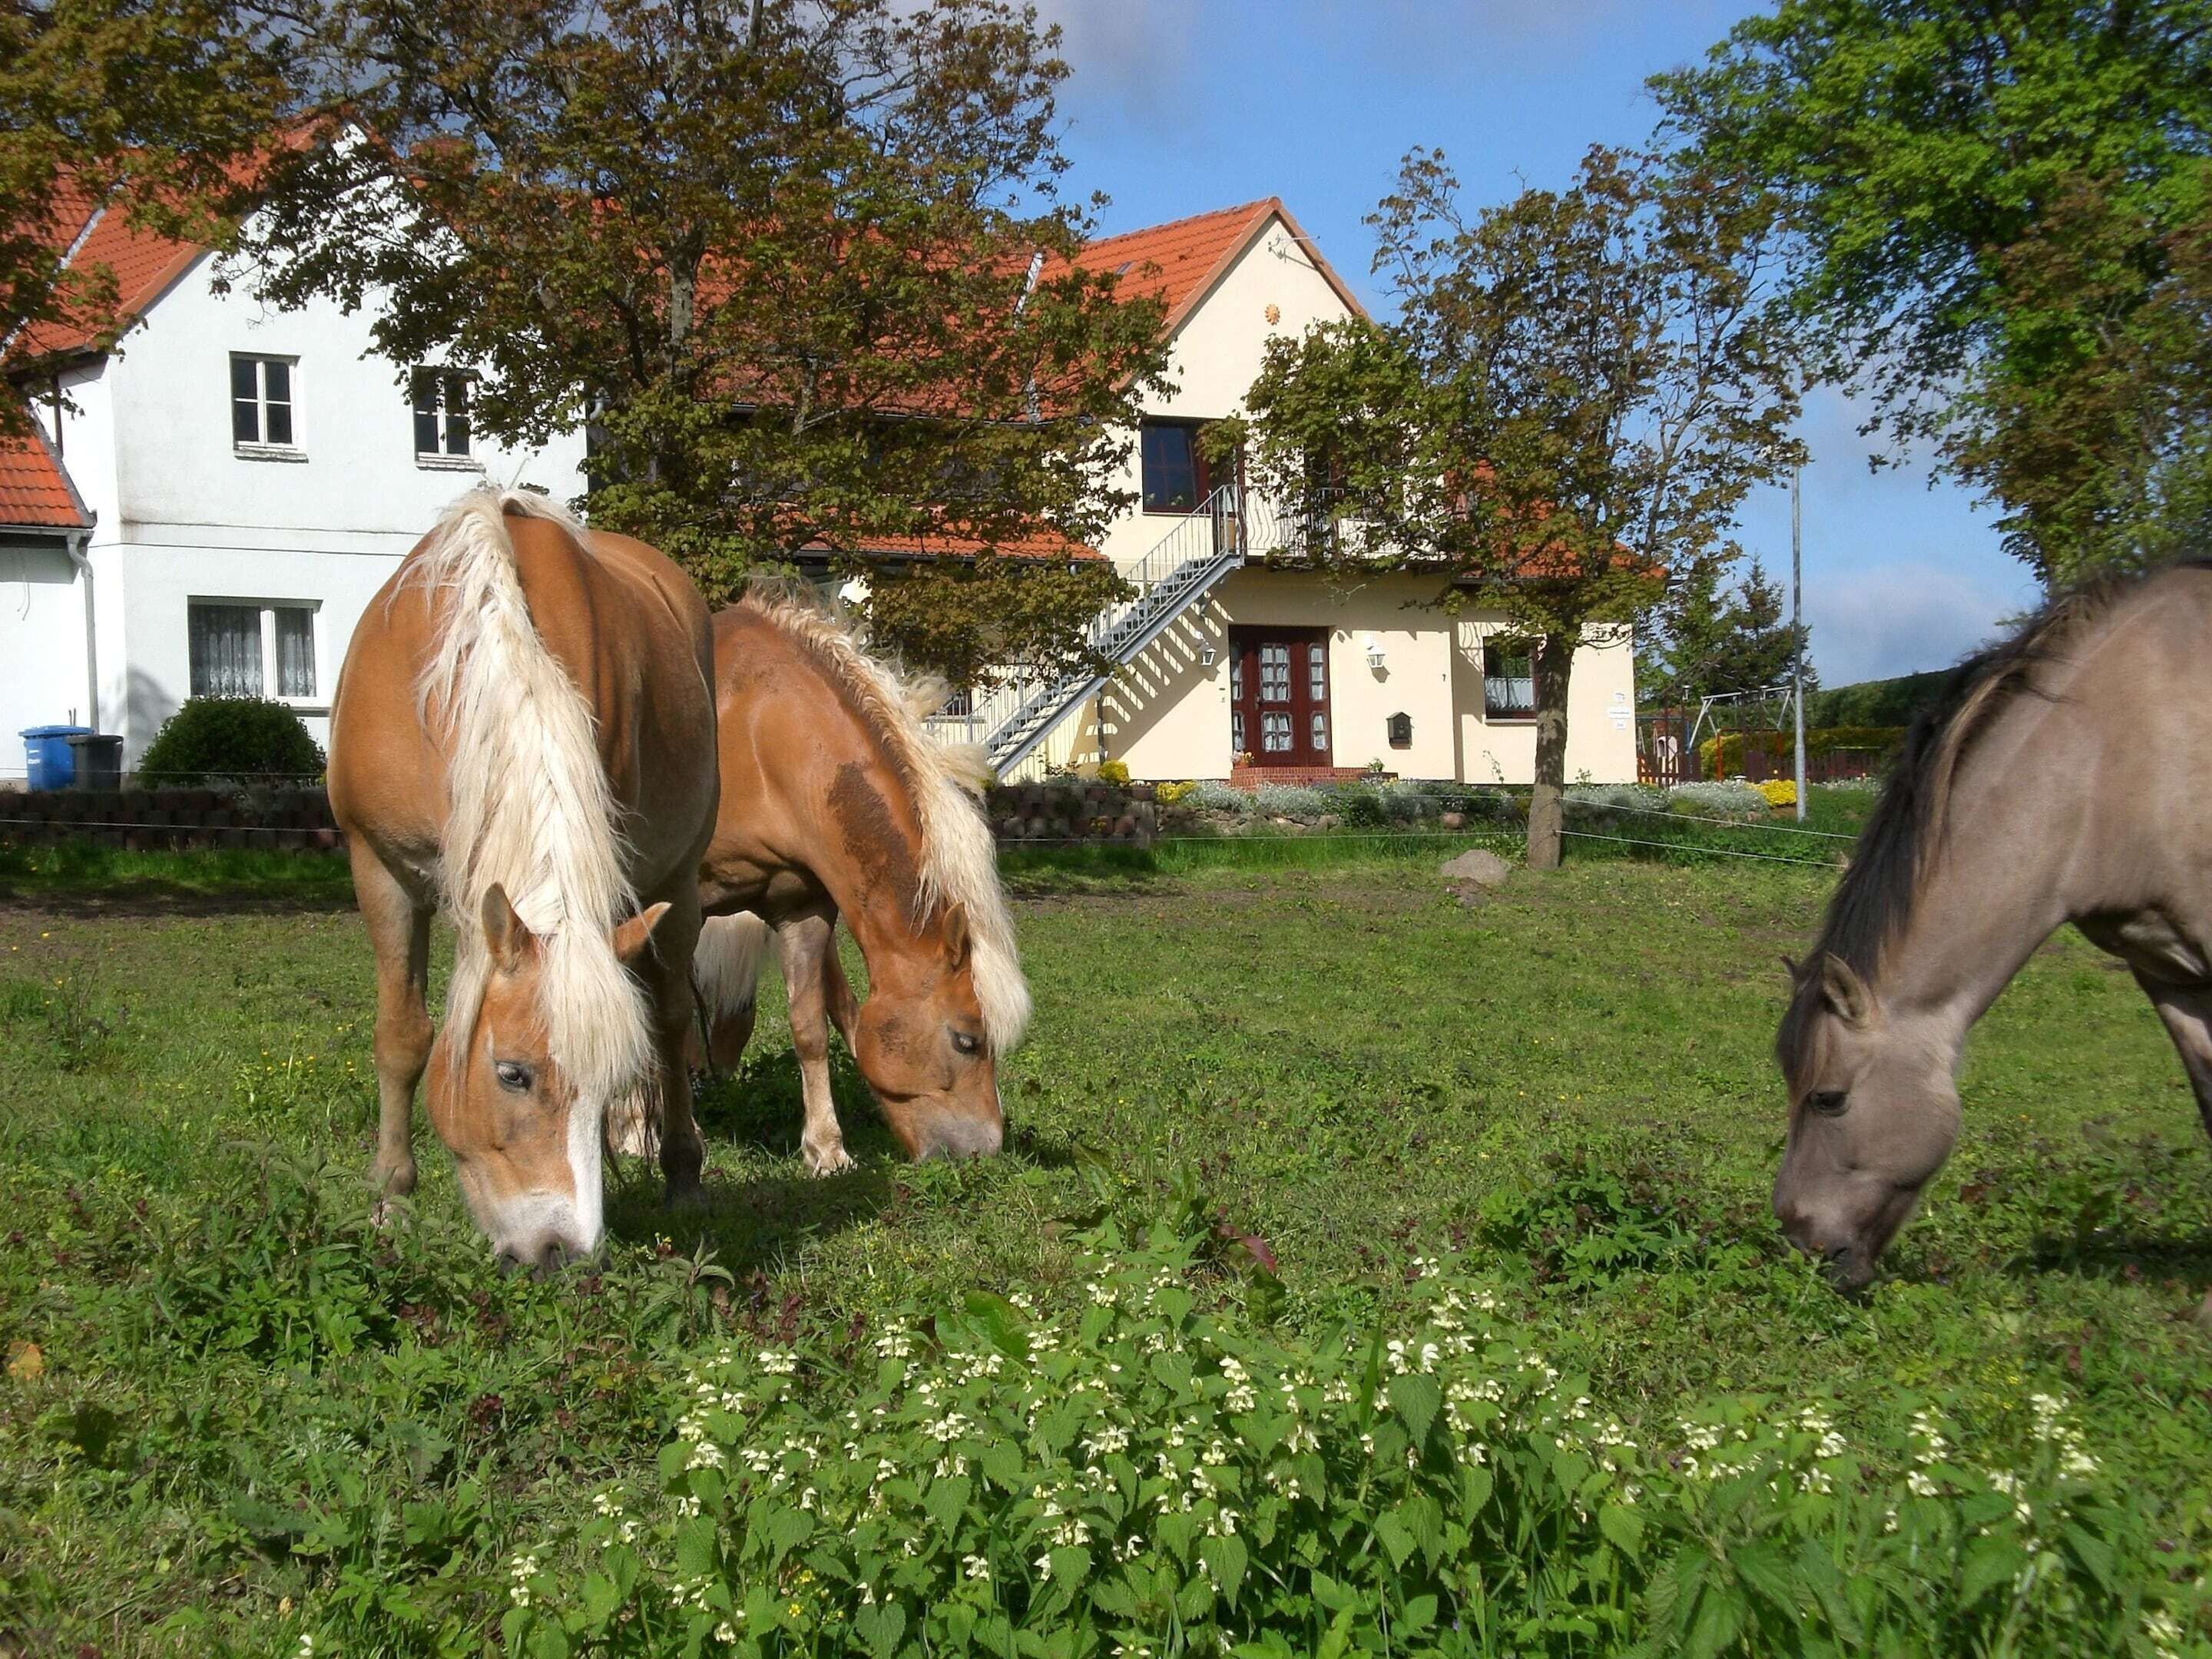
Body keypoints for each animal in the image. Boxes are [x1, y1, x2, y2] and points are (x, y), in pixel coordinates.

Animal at [329, 489, 720, 1271]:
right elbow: (403, 1036)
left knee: (668, 1020)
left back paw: (682, 1174)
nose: (560, 1250)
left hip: (678, 883)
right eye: (513, 1073)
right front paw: (390, 1200)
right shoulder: (379, 868)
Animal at [691, 588, 1028, 1172]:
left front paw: (827, 1149)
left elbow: (812, 1027)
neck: (755, 734)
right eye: (967, 1041)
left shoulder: (801, 905)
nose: (987, 1150)